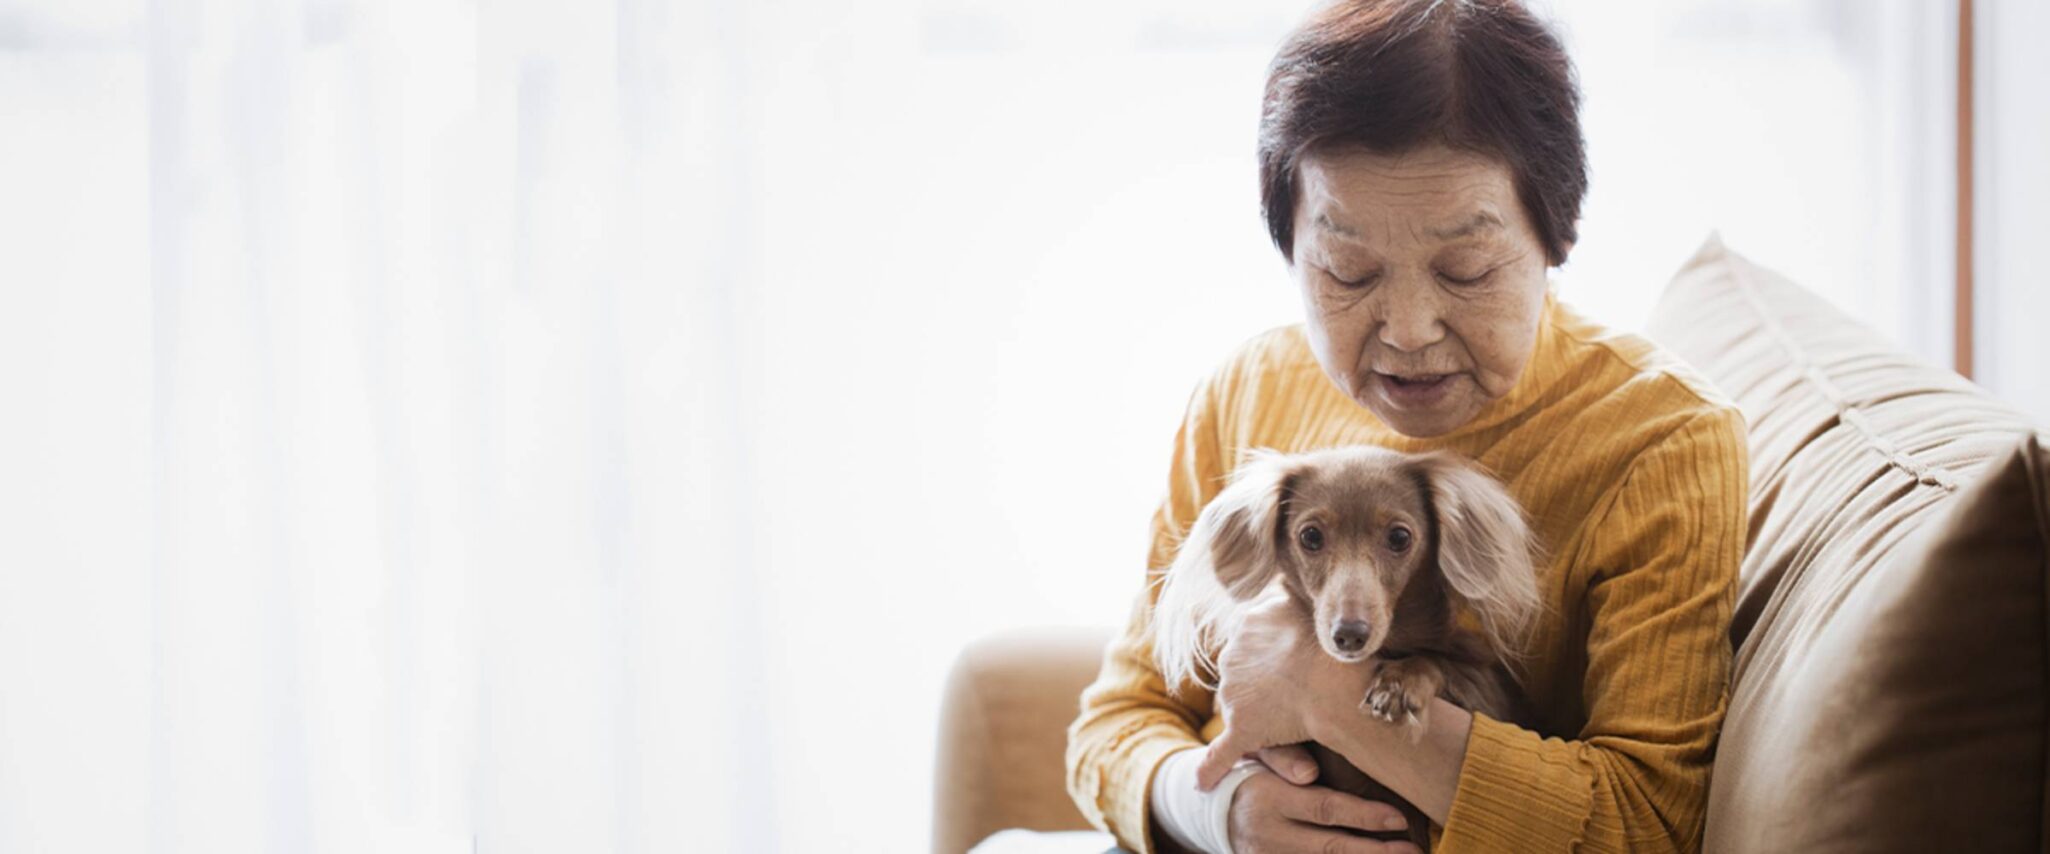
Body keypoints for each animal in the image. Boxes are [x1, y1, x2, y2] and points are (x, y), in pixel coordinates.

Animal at [1156, 446, 1541, 843]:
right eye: (1310, 536)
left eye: (1399, 537)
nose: (1350, 634)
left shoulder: (1489, 693)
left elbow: (1435, 660)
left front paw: (1398, 685)